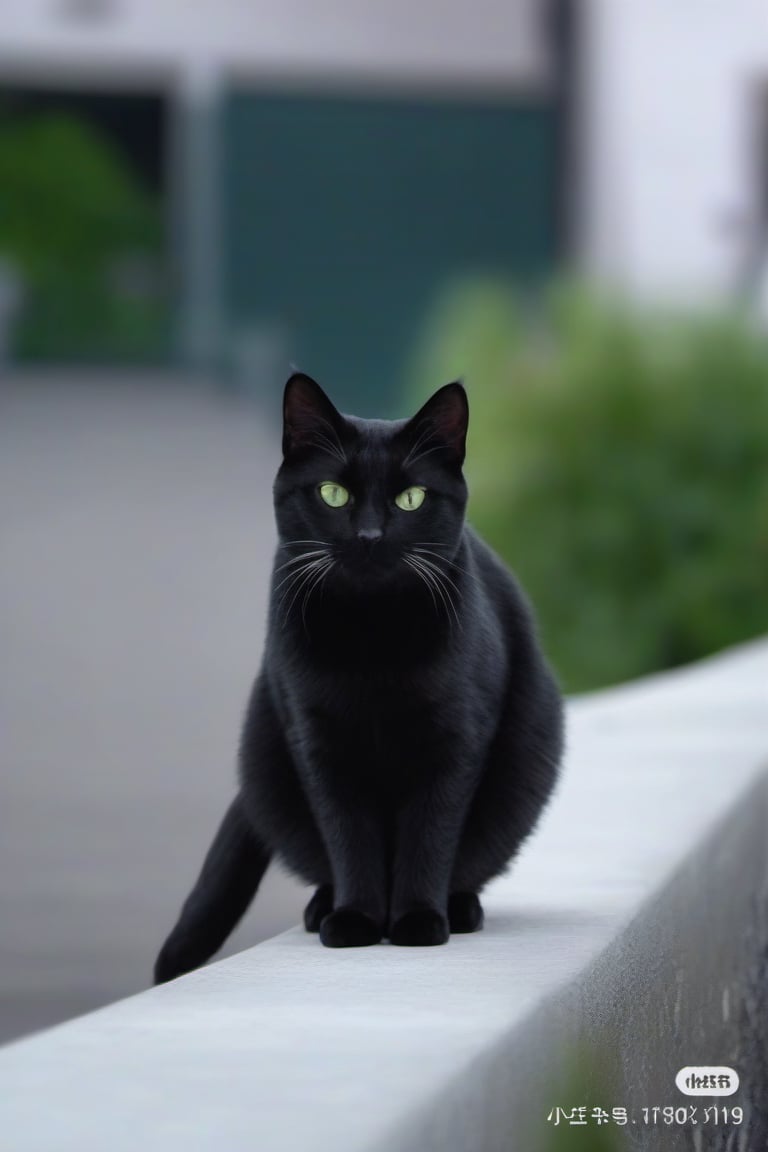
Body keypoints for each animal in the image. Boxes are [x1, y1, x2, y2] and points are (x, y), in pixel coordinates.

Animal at [154, 370, 564, 981]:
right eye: (333, 493)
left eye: (411, 497)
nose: (370, 535)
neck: (372, 642)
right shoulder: (318, 744)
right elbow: (350, 838)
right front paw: (355, 921)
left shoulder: (455, 743)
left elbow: (429, 836)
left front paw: (417, 920)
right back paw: (323, 907)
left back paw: (459, 908)